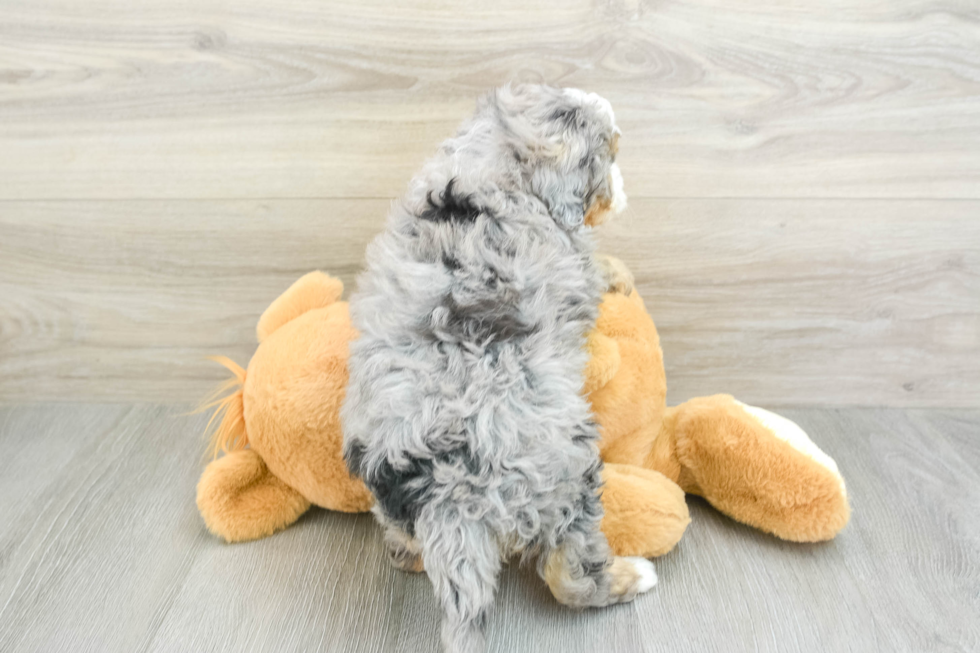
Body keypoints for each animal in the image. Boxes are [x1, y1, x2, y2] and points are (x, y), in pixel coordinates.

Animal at [340, 85, 656, 652]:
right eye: (610, 152)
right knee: (571, 577)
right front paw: (619, 271)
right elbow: (592, 266)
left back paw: (409, 555)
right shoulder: (569, 260)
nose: (623, 191)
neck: (493, 156)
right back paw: (631, 575)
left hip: (386, 492)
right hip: (568, 476)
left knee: (402, 546)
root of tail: (450, 496)